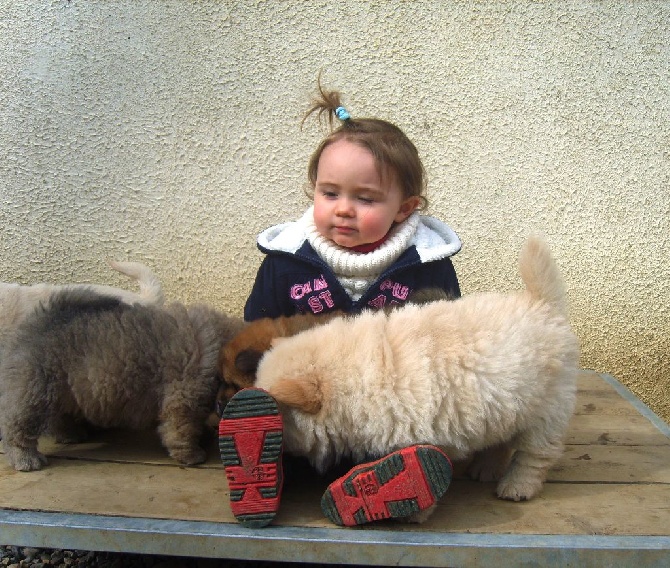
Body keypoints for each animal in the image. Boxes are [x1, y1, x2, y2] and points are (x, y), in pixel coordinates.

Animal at [0, 288, 245, 470]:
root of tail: (40, 319)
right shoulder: (184, 399)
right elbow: (181, 430)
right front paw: (192, 455)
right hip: (35, 392)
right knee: (17, 428)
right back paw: (26, 459)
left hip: (62, 390)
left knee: (59, 418)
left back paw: (72, 434)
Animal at [258, 237, 584, 504]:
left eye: (277, 413)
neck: (353, 375)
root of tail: (542, 303)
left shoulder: (417, 434)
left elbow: (421, 474)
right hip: (504, 403)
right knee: (500, 441)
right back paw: (485, 469)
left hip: (547, 411)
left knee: (535, 455)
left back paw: (517, 487)